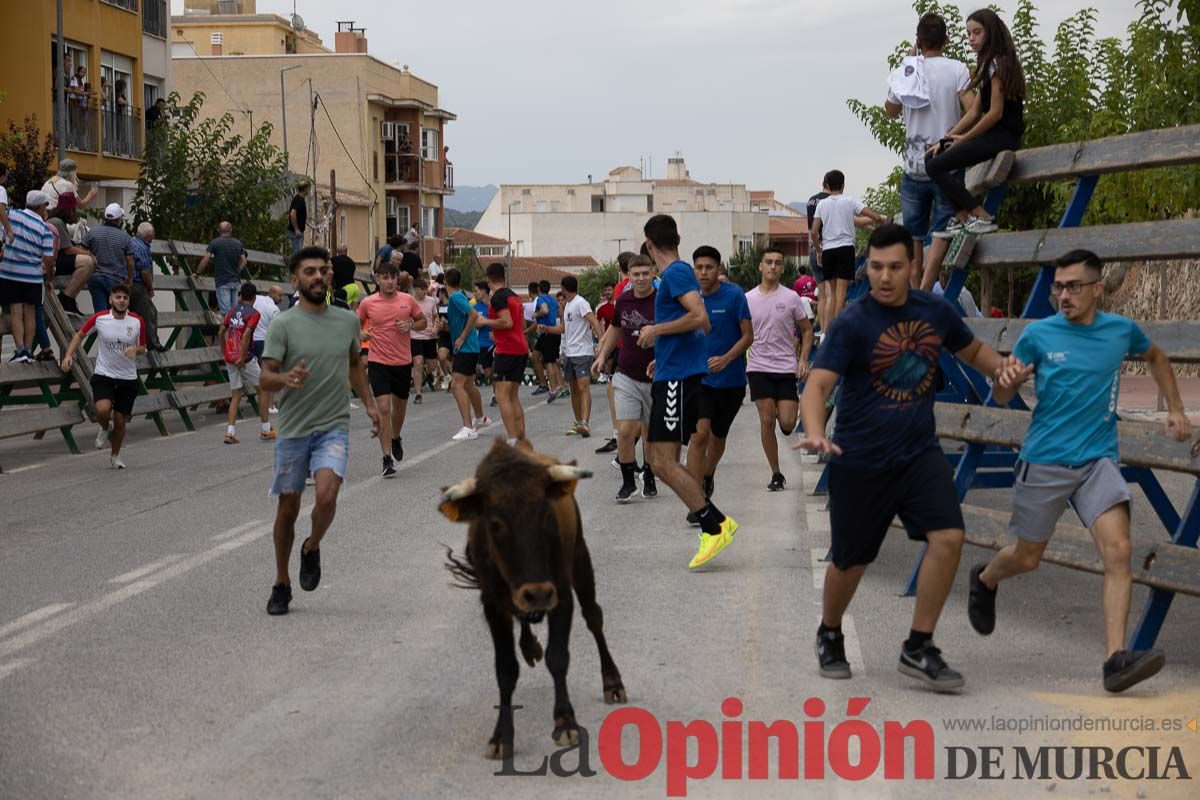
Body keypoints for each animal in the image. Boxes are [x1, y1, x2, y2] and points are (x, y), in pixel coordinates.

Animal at [441, 441, 628, 762]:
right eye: (495, 523)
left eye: (545, 515)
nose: (537, 592)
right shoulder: (493, 605)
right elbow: (505, 669)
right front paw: (501, 736)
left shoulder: (560, 595)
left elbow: (558, 656)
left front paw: (565, 721)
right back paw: (529, 645)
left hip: (580, 560)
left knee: (594, 617)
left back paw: (612, 682)